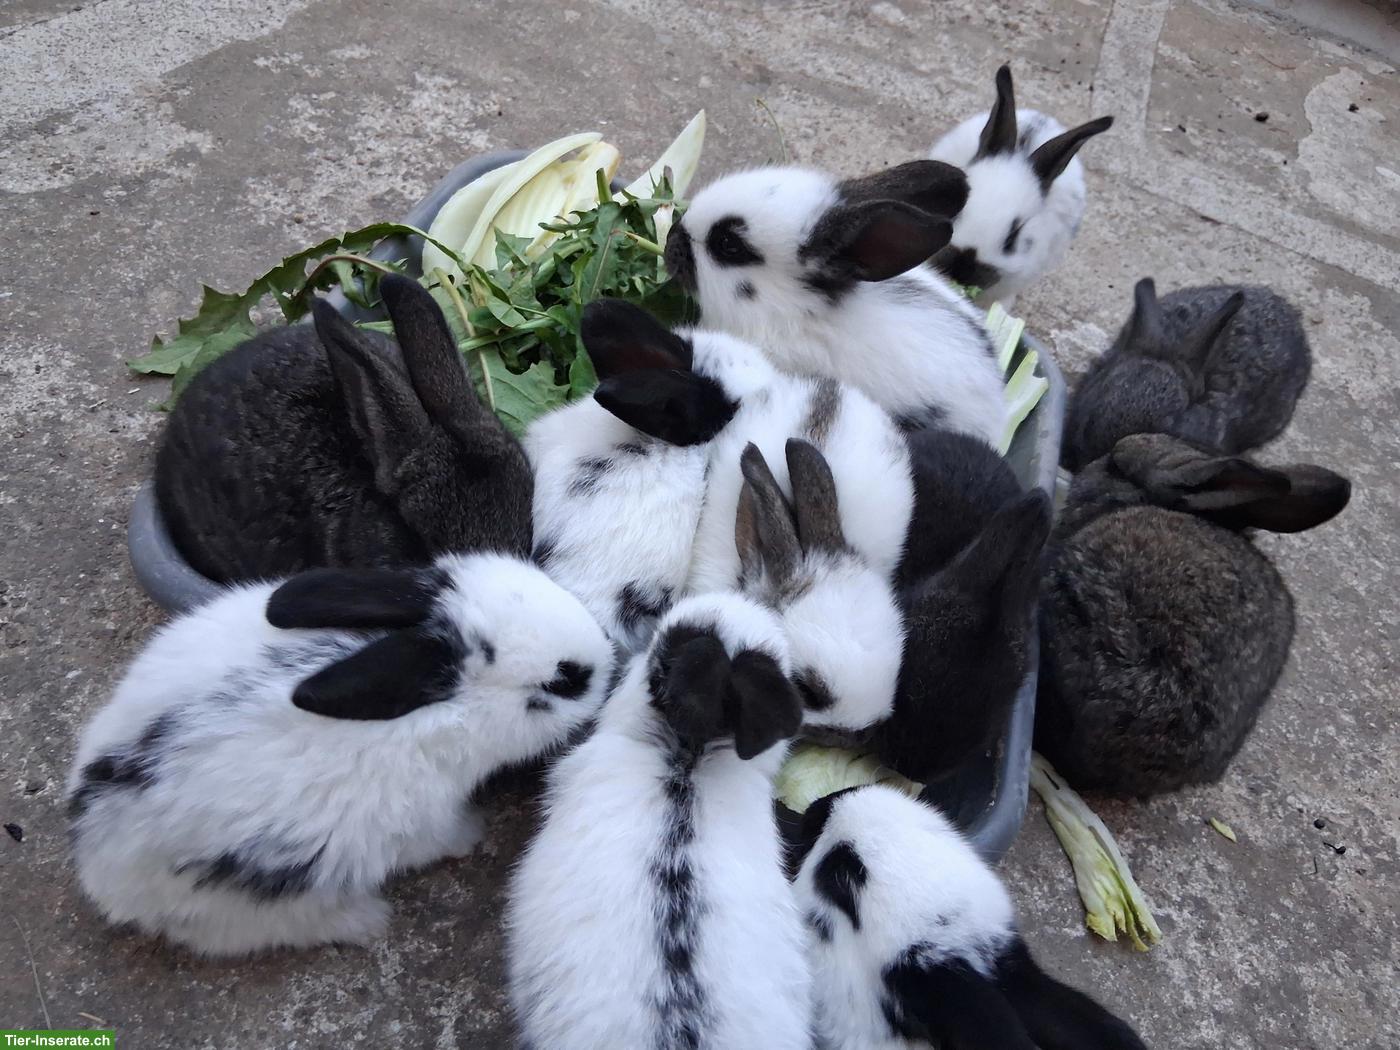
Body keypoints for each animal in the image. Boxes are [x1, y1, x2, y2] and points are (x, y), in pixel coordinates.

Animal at [67, 552, 610, 957]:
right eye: (561, 681)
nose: (609, 657)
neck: (451, 714)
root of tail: (97, 865)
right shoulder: (419, 817)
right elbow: (441, 837)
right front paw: (472, 836)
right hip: (260, 899)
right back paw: (368, 921)